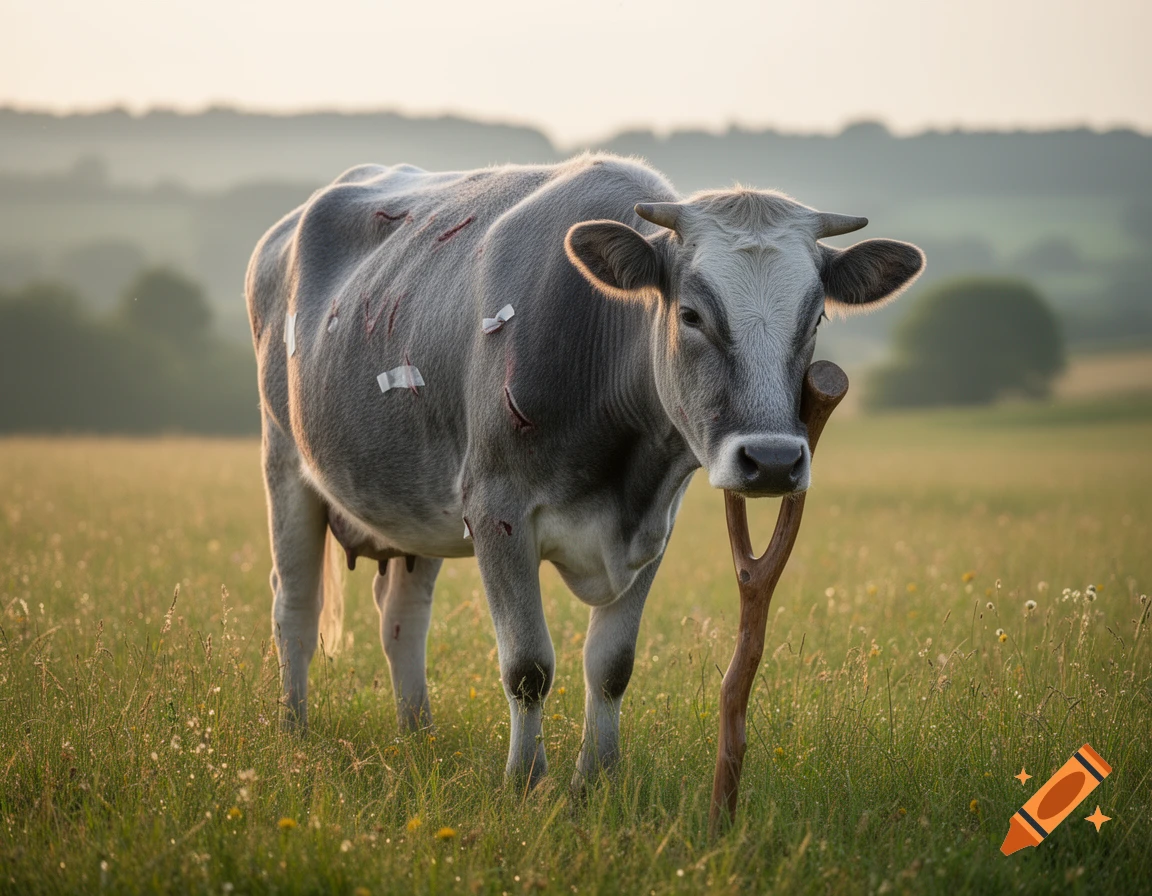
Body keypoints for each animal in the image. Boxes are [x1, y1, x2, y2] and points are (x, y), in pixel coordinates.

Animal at [245, 153, 923, 789]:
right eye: (691, 315)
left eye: (816, 320)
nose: (774, 461)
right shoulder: (495, 510)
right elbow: (527, 667)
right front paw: (526, 781)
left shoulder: (653, 526)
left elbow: (612, 664)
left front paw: (597, 779)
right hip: (285, 461)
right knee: (295, 607)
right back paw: (292, 731)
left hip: (415, 504)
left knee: (401, 616)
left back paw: (418, 735)